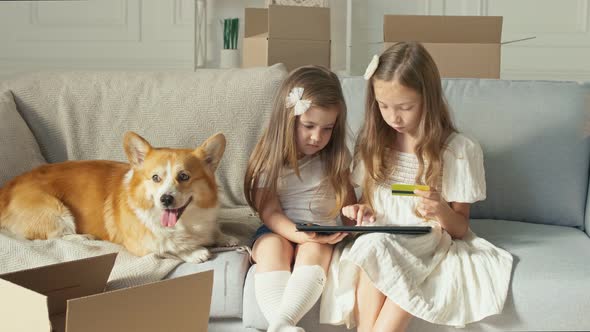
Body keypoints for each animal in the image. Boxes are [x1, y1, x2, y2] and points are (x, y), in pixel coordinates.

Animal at [0, 131, 238, 264]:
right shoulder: (141, 244)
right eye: (155, 178)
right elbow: (168, 247)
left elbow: (215, 232)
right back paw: (84, 238)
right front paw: (196, 253)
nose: (166, 200)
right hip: (56, 211)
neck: (185, 223)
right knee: (54, 236)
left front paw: (225, 237)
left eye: (184, 176)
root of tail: (7, 188)